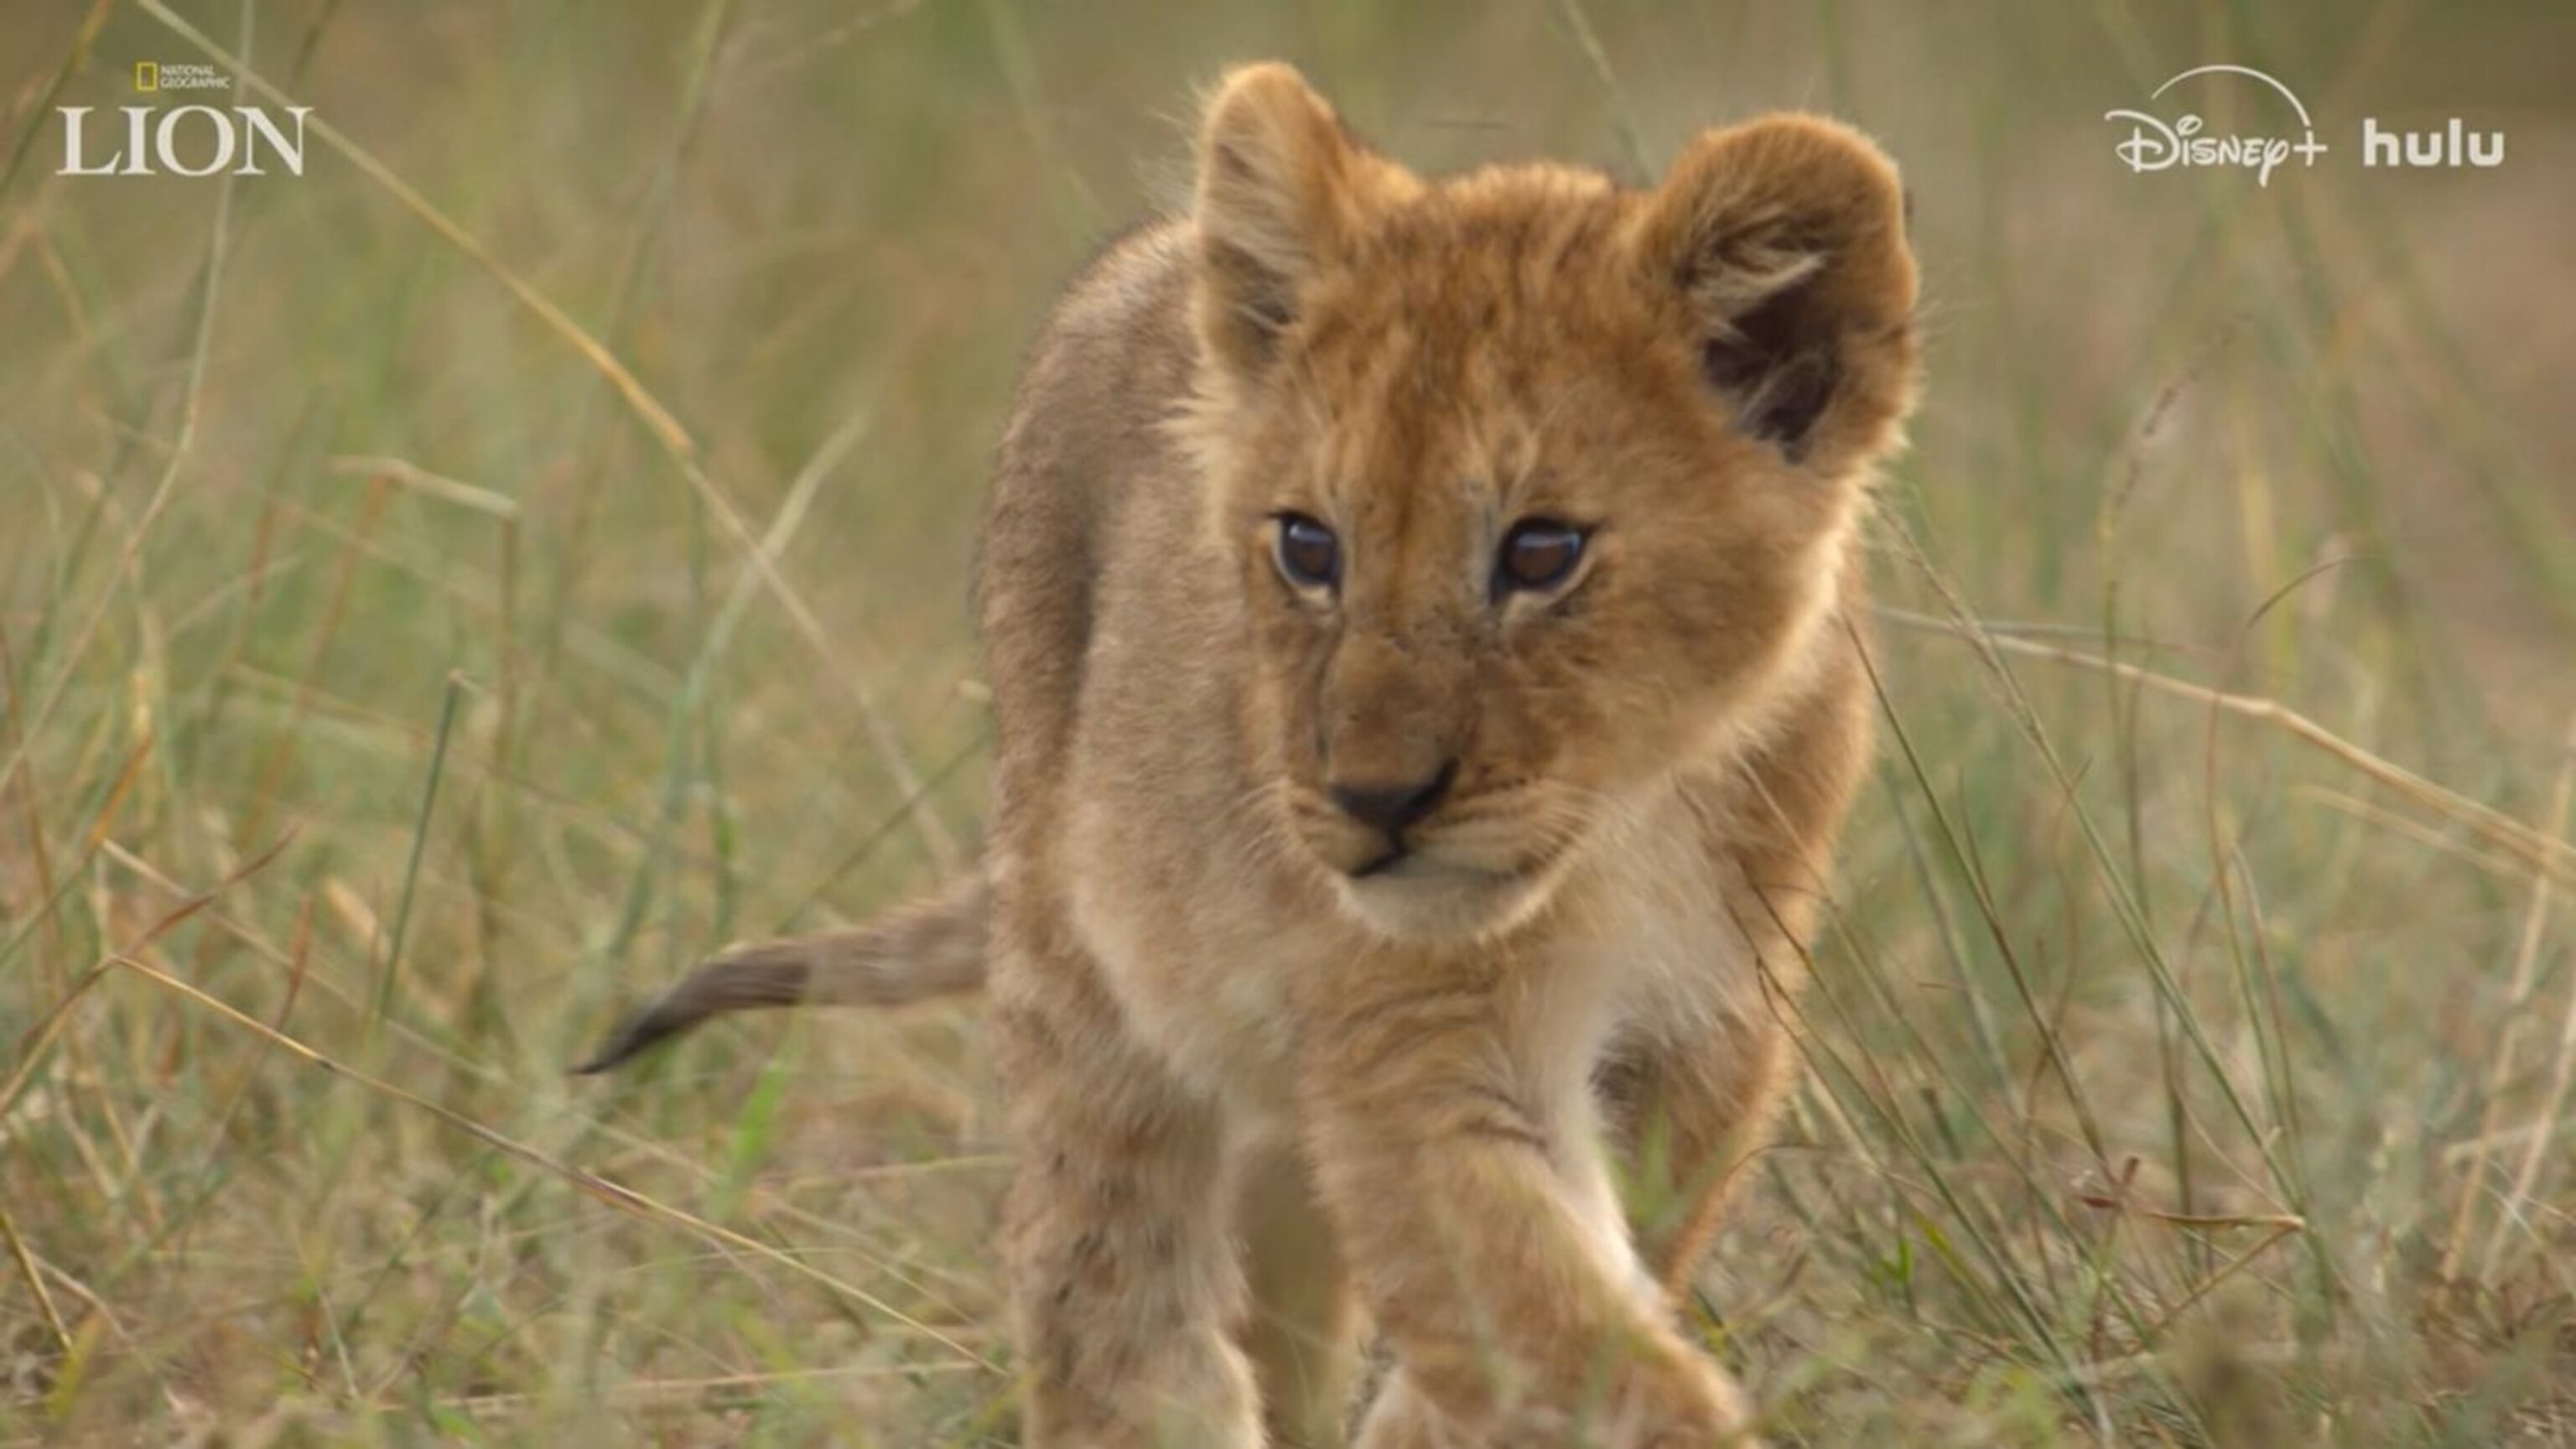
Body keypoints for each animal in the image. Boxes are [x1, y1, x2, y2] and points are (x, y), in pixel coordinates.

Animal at [586, 62, 1919, 1448]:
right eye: (1308, 546)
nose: (1373, 801)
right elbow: (1547, 1323)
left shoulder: (1711, 1035)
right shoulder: (1417, 1042)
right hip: (1084, 965)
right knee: (1109, 1295)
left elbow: (1565, 1307)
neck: (1628, 827)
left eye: (1543, 552)